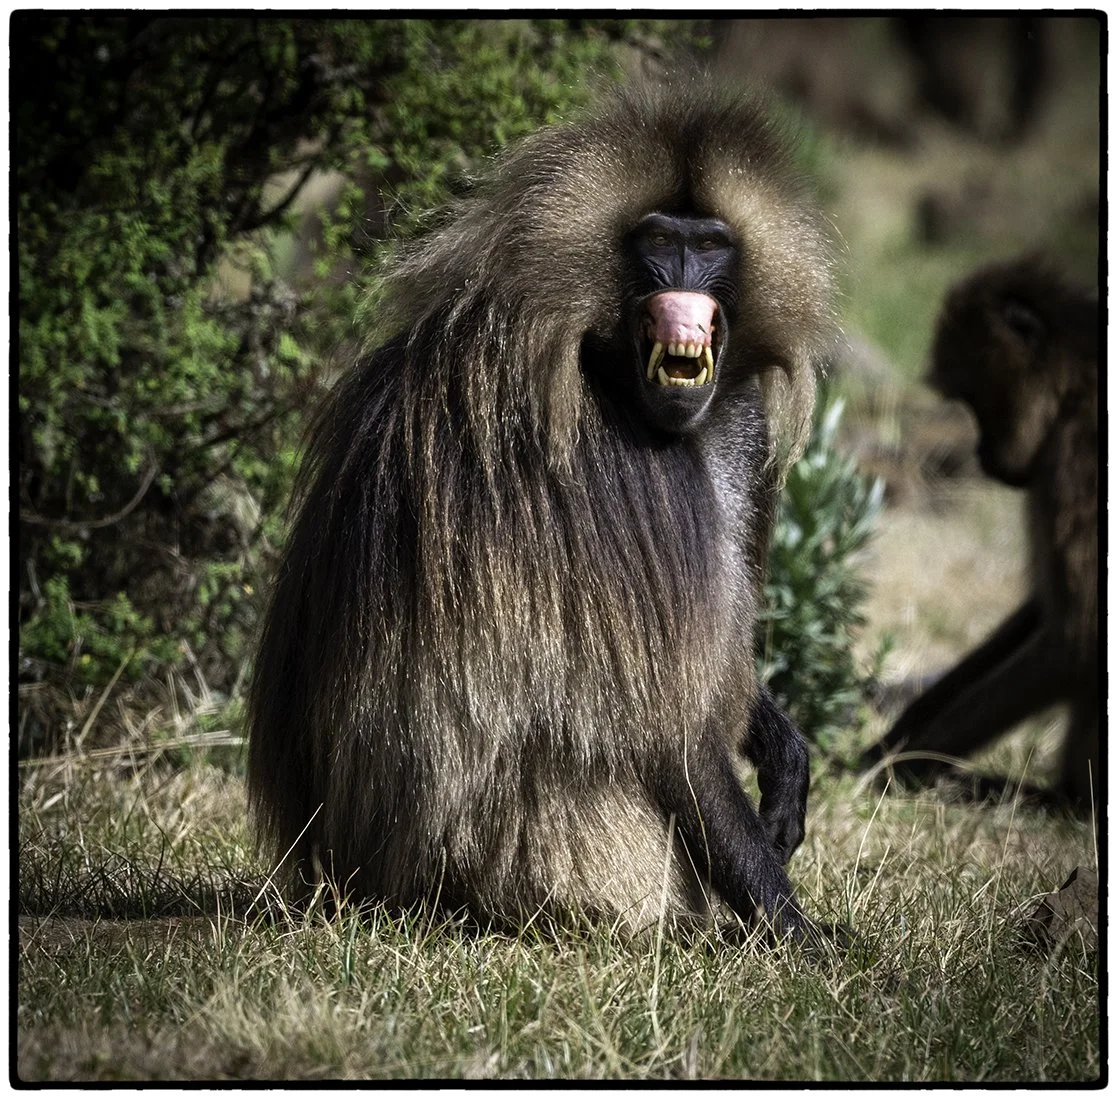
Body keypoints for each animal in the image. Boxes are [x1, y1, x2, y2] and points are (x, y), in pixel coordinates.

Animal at [247, 80, 838, 940]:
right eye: (656, 241)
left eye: (709, 245)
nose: (682, 277)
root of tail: (355, 878)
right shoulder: (618, 465)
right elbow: (674, 731)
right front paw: (795, 928)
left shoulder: (741, 422)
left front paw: (786, 758)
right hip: (546, 854)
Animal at [860, 257, 1099, 812]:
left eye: (976, 396)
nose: (983, 455)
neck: (1074, 387)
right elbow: (1045, 614)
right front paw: (898, 734)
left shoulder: (1077, 453)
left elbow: (1077, 635)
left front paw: (902, 763)